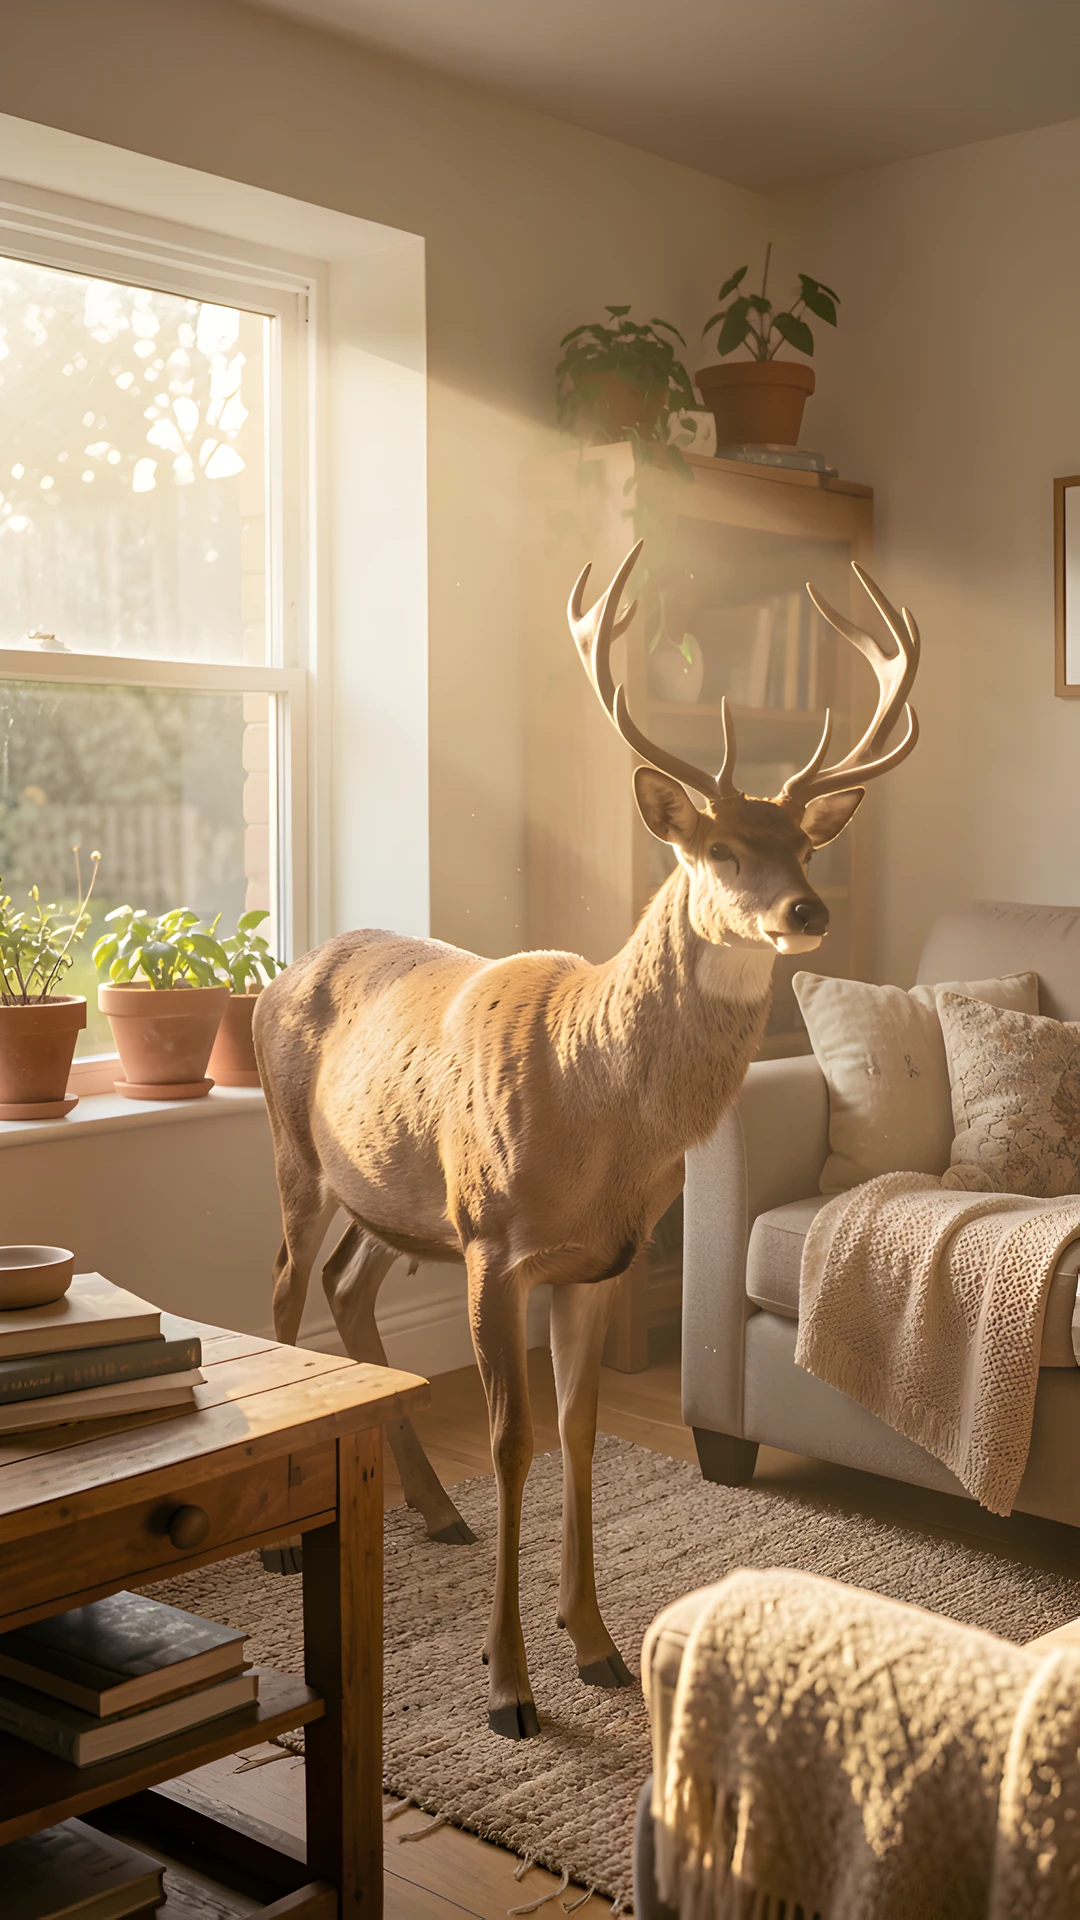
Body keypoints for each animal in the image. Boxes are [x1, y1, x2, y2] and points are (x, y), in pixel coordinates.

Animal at [253, 541, 920, 1739]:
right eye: (716, 848)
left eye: (803, 847)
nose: (806, 911)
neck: (594, 1105)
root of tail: (279, 975)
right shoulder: (491, 1240)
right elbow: (513, 1440)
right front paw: (509, 1684)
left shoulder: (598, 1260)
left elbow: (578, 1430)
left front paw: (597, 1645)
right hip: (298, 1152)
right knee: (285, 1289)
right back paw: (292, 1547)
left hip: (395, 1194)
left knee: (344, 1286)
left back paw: (435, 1509)